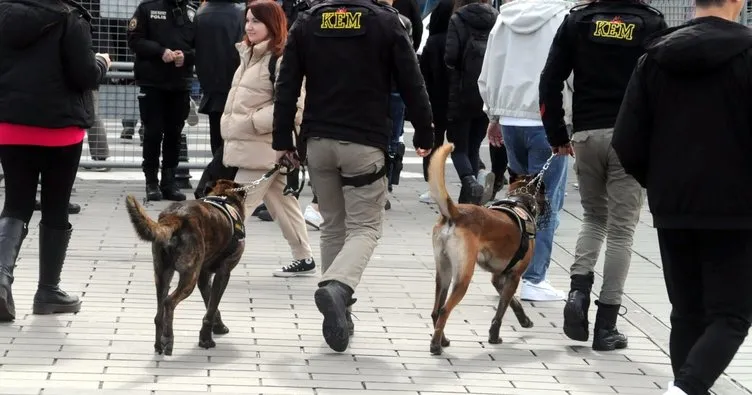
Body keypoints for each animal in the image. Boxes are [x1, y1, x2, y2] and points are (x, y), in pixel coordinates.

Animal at [125, 179, 247, 356]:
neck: (223, 197)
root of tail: (175, 217)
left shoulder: (204, 276)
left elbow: (210, 305)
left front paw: (216, 327)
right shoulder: (223, 273)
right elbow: (211, 308)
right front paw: (206, 340)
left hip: (162, 275)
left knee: (159, 312)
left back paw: (159, 344)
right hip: (189, 277)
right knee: (169, 302)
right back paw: (168, 339)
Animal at [426, 144, 548, 358]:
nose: (549, 205)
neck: (520, 202)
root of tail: (455, 213)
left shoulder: (498, 278)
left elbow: (513, 302)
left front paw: (524, 320)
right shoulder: (514, 276)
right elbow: (502, 309)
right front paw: (494, 336)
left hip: (444, 273)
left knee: (436, 310)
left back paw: (443, 340)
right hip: (463, 278)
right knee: (444, 310)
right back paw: (436, 345)